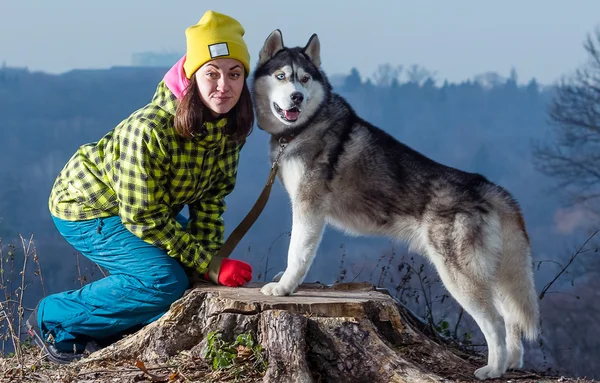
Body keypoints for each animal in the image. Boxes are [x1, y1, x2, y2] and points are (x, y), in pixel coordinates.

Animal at [251, 30, 540, 380]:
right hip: (491, 271)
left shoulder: (308, 207)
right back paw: (511, 362)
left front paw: (284, 287)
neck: (304, 126)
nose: (296, 98)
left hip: (460, 274)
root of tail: (488, 187)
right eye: (281, 76)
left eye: (304, 79)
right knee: (510, 317)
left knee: (495, 320)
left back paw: (493, 369)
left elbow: (298, 252)